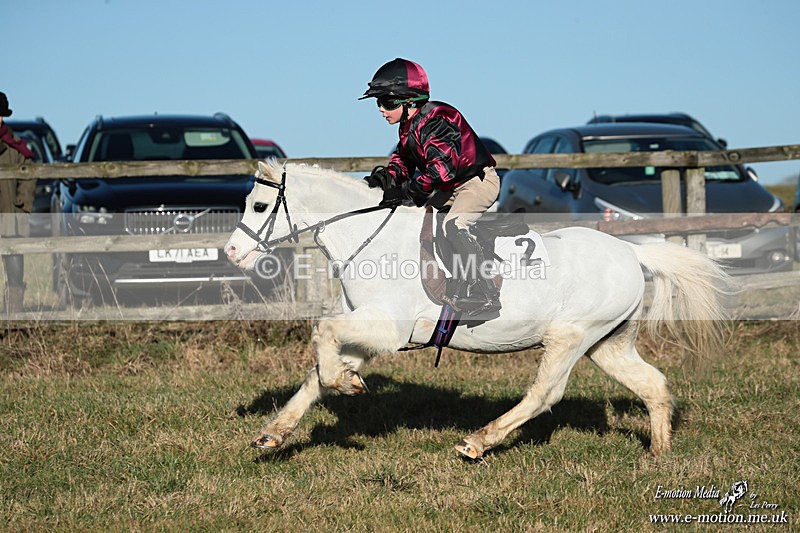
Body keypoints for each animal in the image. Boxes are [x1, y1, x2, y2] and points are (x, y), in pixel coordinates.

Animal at [224, 160, 730, 459]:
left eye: (260, 205)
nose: (231, 252)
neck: (371, 239)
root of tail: (631, 252)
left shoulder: (387, 329)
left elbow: (322, 335)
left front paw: (346, 385)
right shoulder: (367, 329)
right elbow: (317, 372)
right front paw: (275, 432)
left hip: (570, 336)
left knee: (544, 394)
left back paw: (477, 442)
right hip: (607, 343)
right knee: (653, 385)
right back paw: (659, 455)